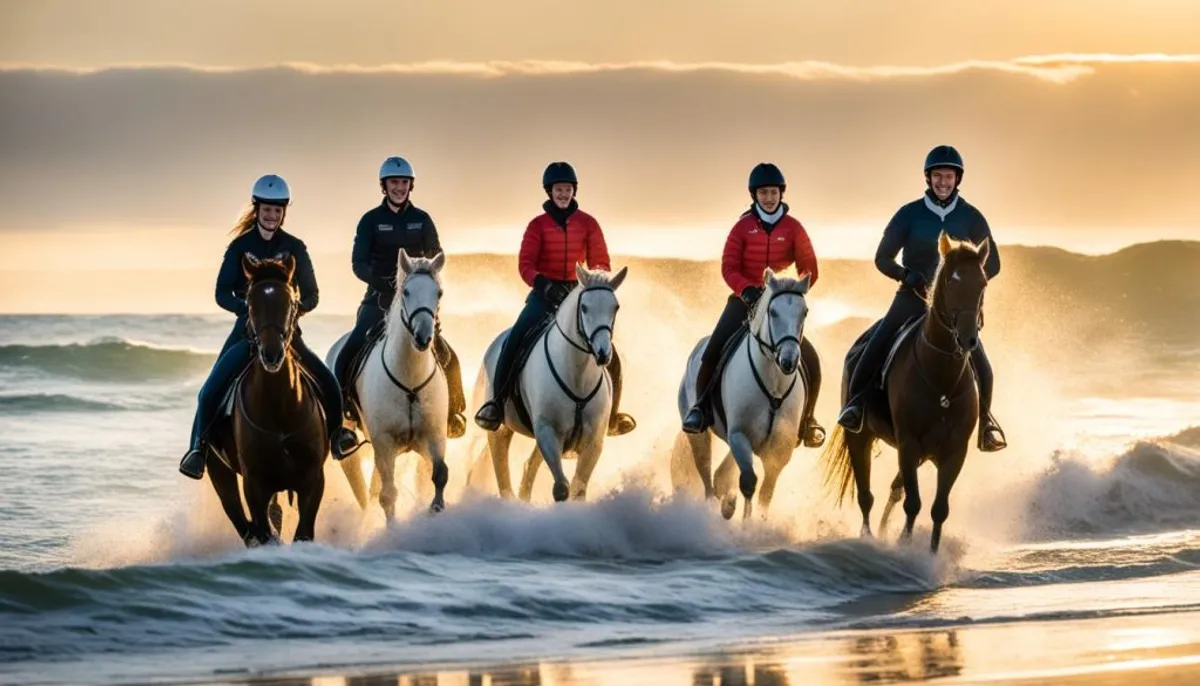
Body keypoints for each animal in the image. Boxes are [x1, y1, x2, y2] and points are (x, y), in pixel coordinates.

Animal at [206, 251, 328, 546]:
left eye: (291, 301)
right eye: (250, 302)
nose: (271, 354)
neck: (280, 409)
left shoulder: (313, 480)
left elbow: (303, 534)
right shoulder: (254, 484)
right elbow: (261, 528)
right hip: (219, 471)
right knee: (240, 518)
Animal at [324, 249, 451, 518]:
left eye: (438, 293)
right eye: (406, 292)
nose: (423, 337)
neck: (409, 379)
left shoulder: (433, 436)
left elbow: (440, 475)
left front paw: (435, 510)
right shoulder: (383, 442)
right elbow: (388, 495)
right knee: (359, 480)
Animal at [475, 265, 633, 501]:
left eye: (615, 307)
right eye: (584, 307)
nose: (603, 353)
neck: (577, 375)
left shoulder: (593, 442)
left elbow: (578, 490)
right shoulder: (547, 432)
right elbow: (561, 489)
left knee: (529, 466)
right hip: (500, 429)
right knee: (501, 466)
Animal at [676, 267, 816, 520]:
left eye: (805, 312)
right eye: (773, 312)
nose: (789, 360)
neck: (774, 383)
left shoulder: (780, 449)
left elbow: (766, 492)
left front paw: (757, 522)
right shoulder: (739, 435)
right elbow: (749, 482)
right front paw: (745, 523)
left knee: (721, 475)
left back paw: (726, 501)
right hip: (698, 432)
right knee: (706, 471)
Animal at [820, 232, 988, 554]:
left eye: (983, 283)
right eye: (951, 281)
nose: (968, 339)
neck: (940, 377)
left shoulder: (954, 451)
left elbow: (938, 509)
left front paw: (931, 555)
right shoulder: (909, 445)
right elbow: (913, 503)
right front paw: (907, 551)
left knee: (893, 492)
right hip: (859, 437)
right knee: (866, 495)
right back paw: (869, 537)